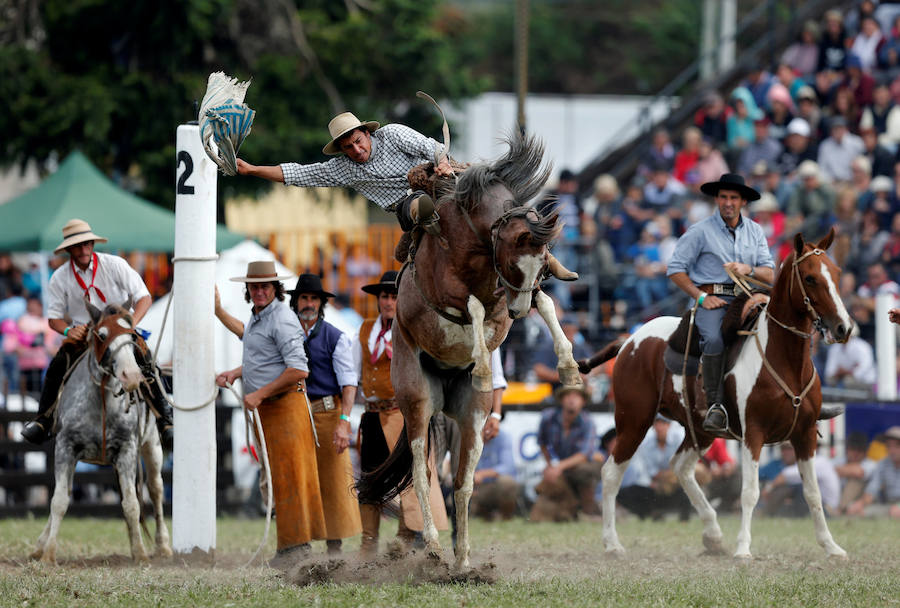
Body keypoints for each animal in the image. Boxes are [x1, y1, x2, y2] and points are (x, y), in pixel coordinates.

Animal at [31, 299, 172, 564]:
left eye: (132, 334)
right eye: (103, 335)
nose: (132, 376)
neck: (101, 402)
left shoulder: (127, 450)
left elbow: (132, 503)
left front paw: (140, 553)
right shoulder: (65, 448)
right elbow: (59, 500)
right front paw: (48, 554)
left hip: (152, 446)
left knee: (156, 489)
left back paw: (163, 546)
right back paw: (40, 546)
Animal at [358, 132, 583, 570]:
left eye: (543, 266)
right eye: (514, 265)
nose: (517, 311)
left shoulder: (506, 299)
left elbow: (544, 304)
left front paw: (569, 366)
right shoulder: (454, 291)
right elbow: (474, 306)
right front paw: (481, 364)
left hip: (472, 418)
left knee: (462, 483)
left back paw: (462, 560)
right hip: (416, 402)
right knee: (422, 476)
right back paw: (431, 546)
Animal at [579, 229, 852, 559]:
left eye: (836, 273)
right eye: (810, 278)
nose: (843, 327)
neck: (785, 360)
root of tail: (630, 339)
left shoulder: (805, 434)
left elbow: (813, 493)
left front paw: (832, 547)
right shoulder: (753, 433)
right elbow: (750, 492)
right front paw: (743, 549)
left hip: (700, 429)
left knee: (681, 468)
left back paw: (713, 535)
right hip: (633, 421)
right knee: (611, 474)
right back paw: (612, 544)